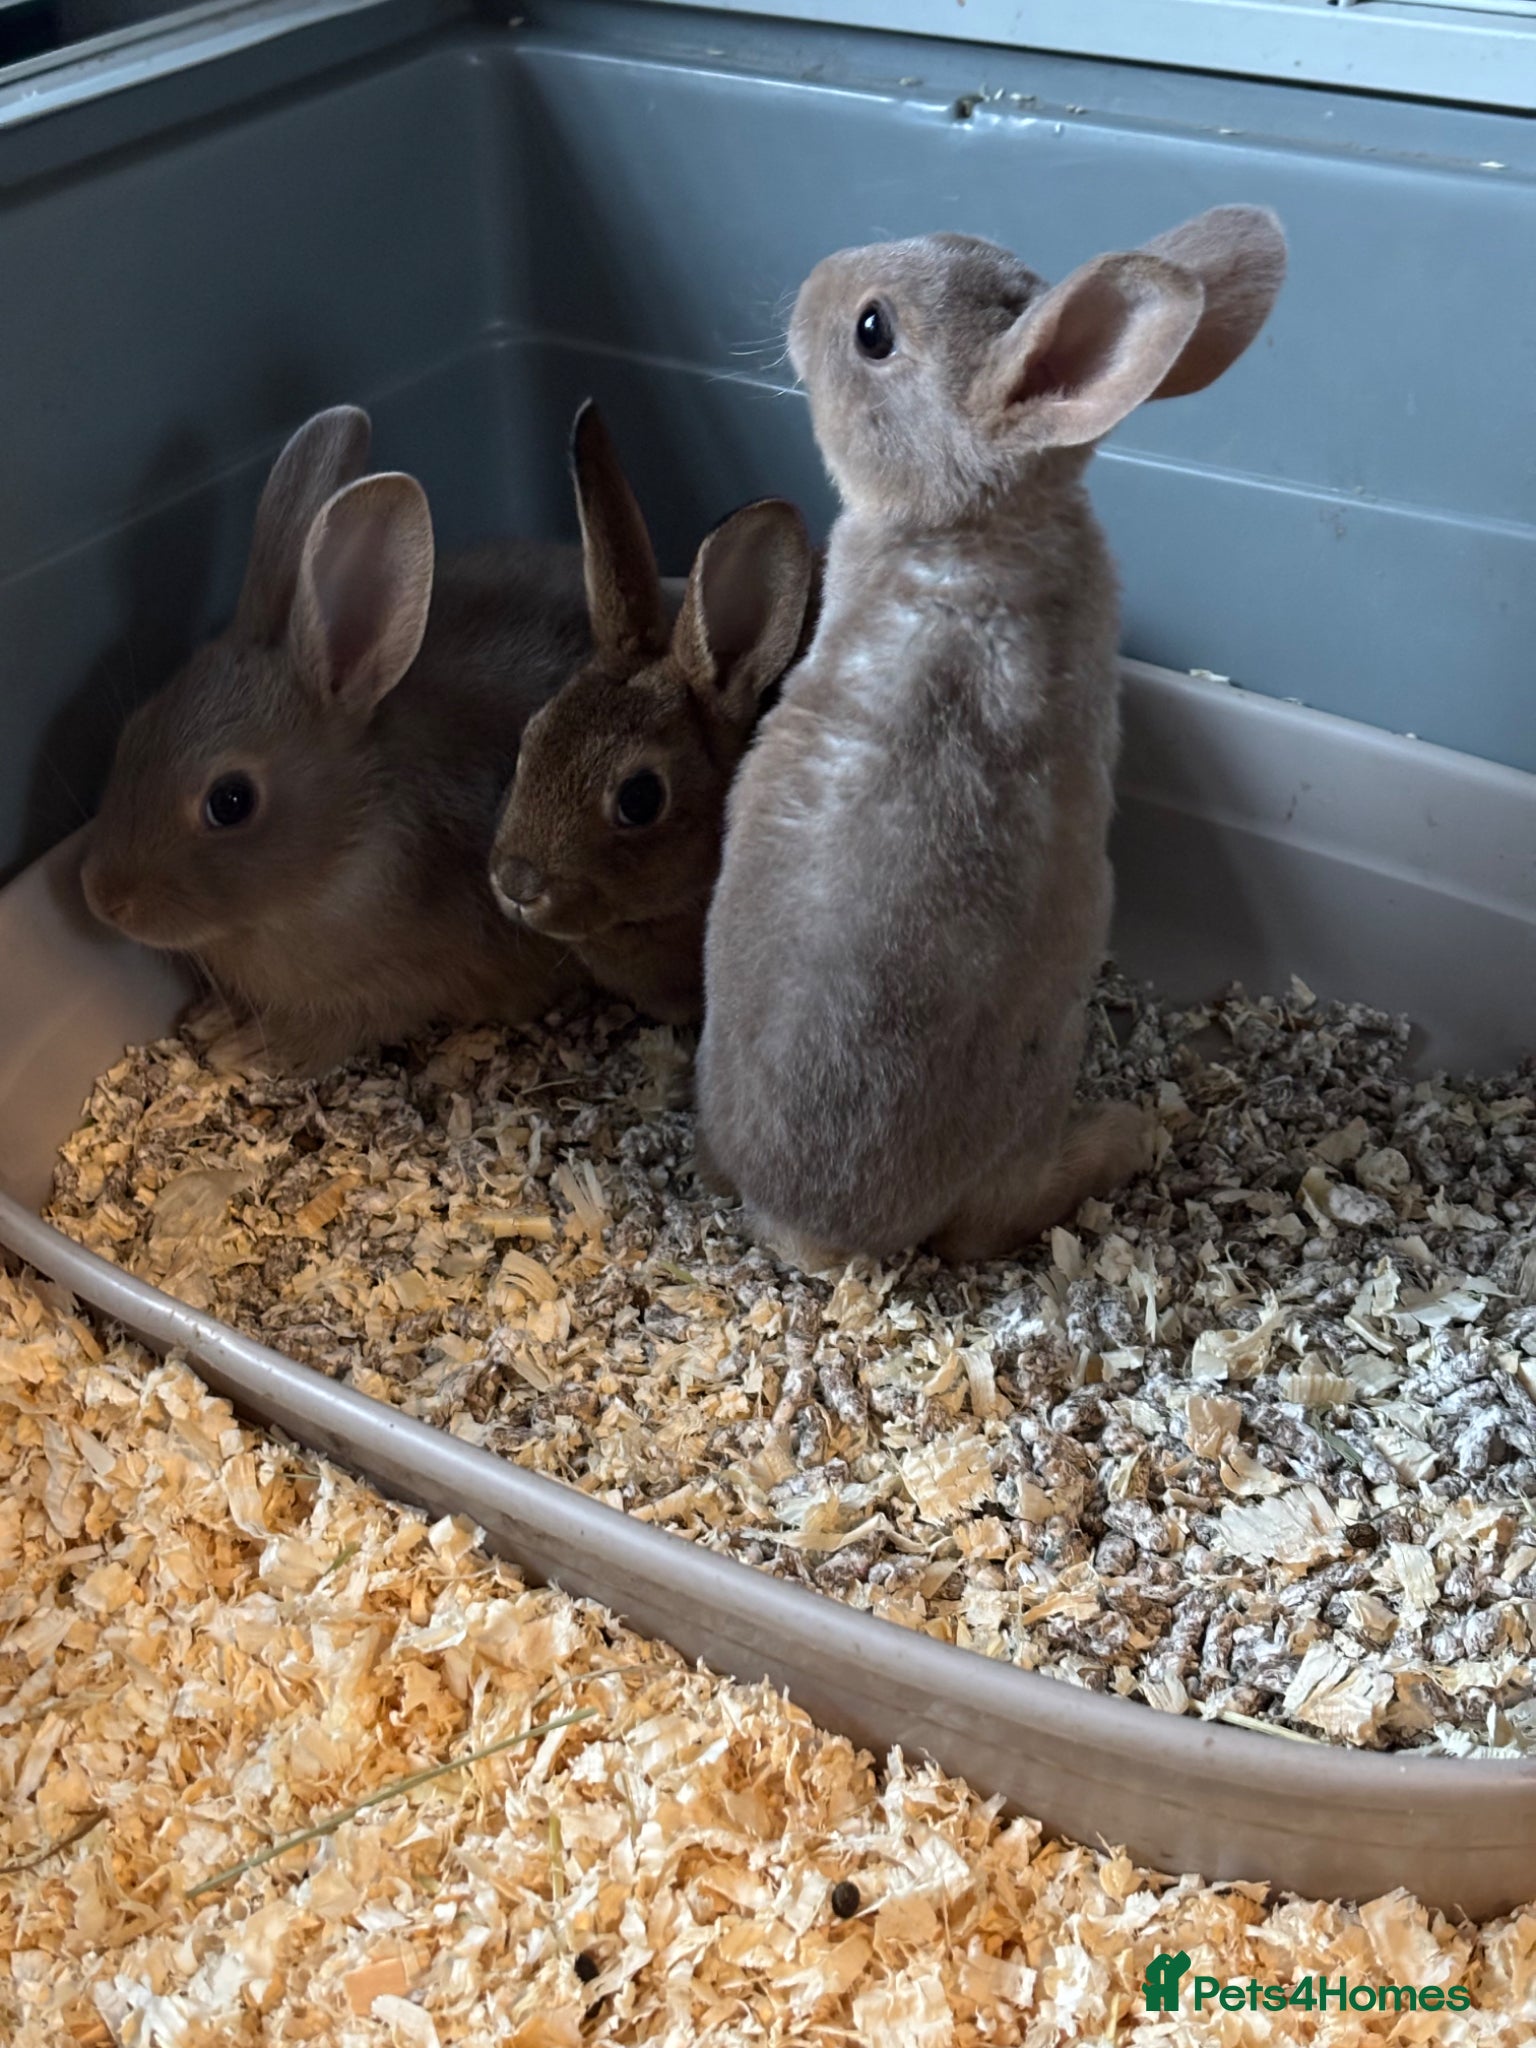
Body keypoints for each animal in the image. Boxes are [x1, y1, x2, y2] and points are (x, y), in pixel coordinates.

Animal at [80, 404, 594, 1077]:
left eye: (230, 802)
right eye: (133, 730)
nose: (99, 896)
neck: (344, 850)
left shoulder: (393, 989)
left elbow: (330, 1032)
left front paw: (236, 1045)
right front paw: (217, 1020)